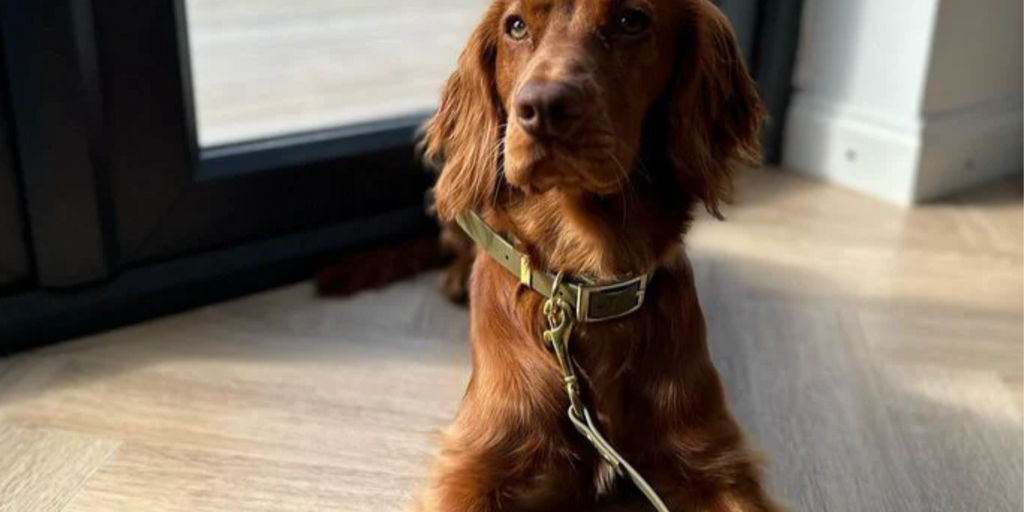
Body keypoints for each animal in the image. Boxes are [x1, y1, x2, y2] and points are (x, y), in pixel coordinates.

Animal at [418, 0, 784, 510]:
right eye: (516, 26)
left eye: (631, 20)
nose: (541, 109)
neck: (588, 279)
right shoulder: (473, 463)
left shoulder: (716, 462)